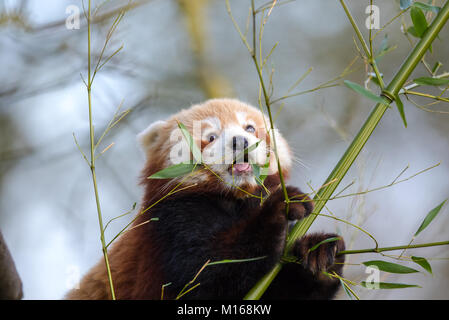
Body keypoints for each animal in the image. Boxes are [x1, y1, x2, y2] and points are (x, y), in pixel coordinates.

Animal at [66, 98, 344, 300]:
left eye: (249, 128)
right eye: (210, 136)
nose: (241, 141)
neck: (235, 198)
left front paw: (319, 254)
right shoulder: (171, 222)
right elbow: (207, 274)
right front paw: (279, 208)